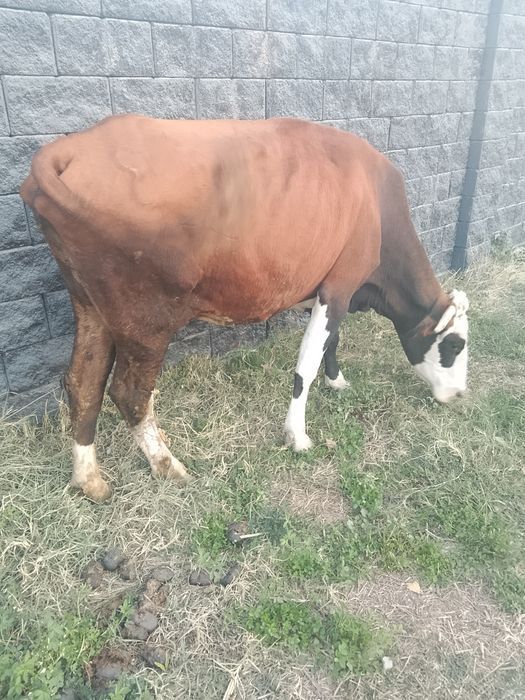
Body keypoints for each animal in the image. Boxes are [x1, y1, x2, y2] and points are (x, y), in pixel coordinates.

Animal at [21, 115, 469, 502]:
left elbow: (332, 341)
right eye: (455, 346)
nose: (461, 394)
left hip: (90, 306)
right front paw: (297, 435)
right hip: (145, 319)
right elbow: (305, 367)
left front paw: (337, 380)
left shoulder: (330, 288)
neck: (379, 205)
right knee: (129, 392)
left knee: (83, 383)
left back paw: (89, 478)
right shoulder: (340, 284)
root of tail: (72, 148)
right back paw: (167, 464)